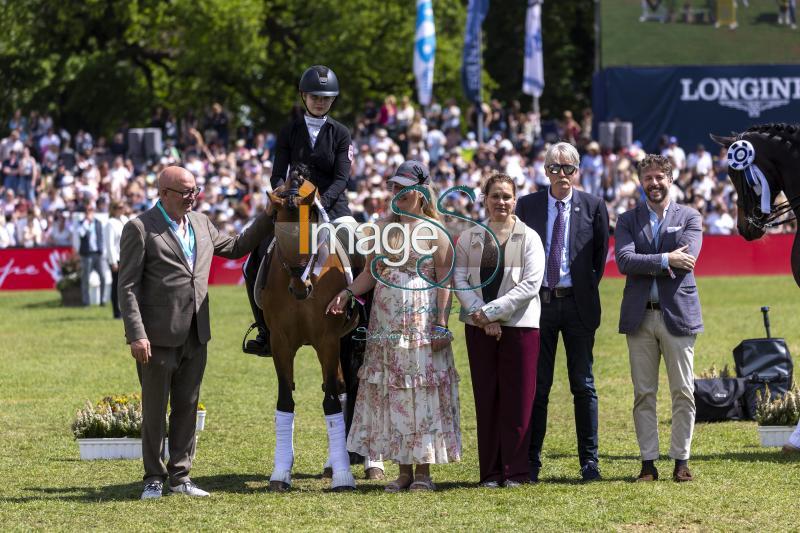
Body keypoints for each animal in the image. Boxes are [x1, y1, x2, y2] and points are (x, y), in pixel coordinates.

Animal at [262, 167, 360, 490]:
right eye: (278, 235)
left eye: (311, 234)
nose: (300, 289)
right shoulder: (280, 343)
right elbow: (285, 400)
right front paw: (281, 471)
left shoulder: (327, 340)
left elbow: (330, 402)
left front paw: (343, 476)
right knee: (341, 388)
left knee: (346, 389)